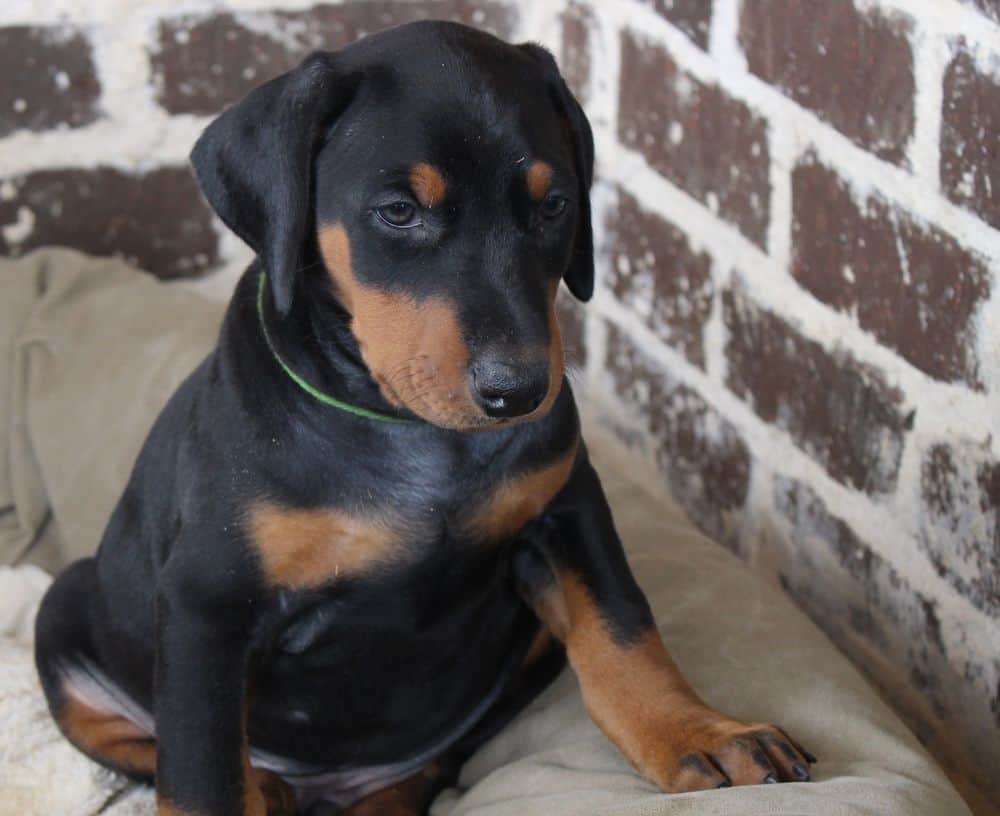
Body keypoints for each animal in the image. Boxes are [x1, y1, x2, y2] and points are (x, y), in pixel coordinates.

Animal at [33, 19, 812, 816]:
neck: (413, 433)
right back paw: (271, 784)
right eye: (399, 211)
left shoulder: (568, 506)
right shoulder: (206, 602)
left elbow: (624, 628)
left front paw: (701, 735)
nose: (518, 390)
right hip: (65, 610)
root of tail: (325, 788)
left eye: (555, 206)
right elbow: (200, 773)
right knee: (144, 738)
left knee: (429, 768)